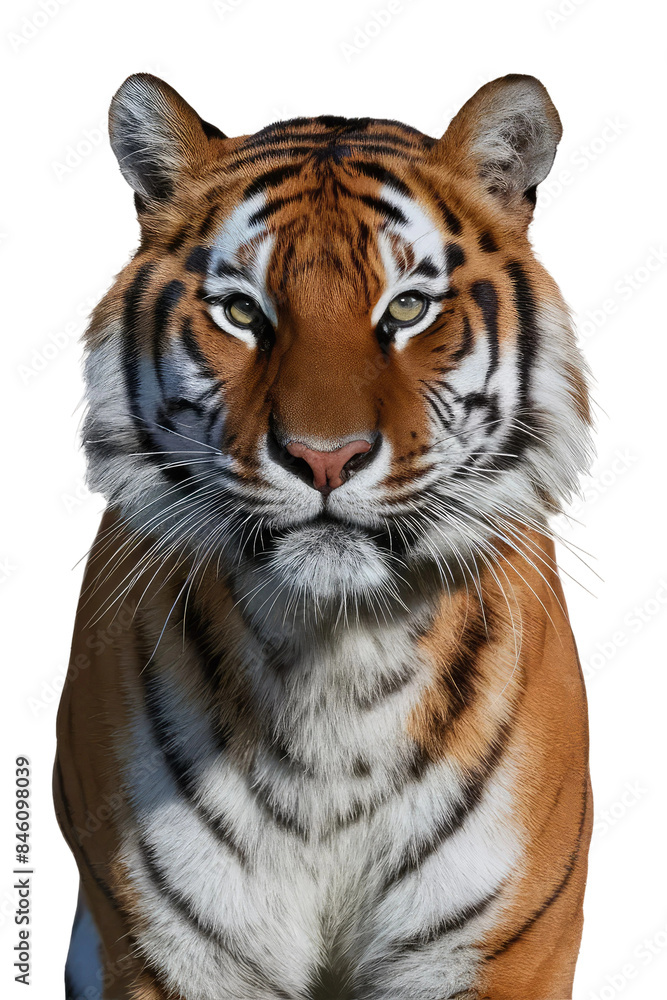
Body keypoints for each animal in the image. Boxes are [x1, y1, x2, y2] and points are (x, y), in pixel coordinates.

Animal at [54, 72, 594, 1000]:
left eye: (406, 307)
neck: (336, 655)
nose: (324, 456)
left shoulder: (505, 948)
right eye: (242, 312)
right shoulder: (164, 951)